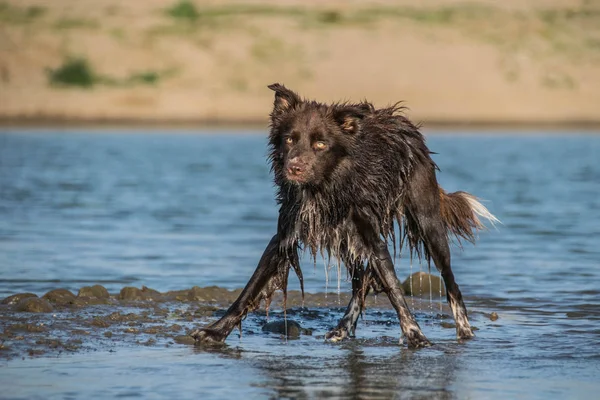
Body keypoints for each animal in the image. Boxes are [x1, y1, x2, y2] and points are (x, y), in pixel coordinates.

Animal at [192, 83, 496, 346]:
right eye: (289, 139)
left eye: (320, 144)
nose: (294, 168)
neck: (324, 187)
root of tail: (407, 127)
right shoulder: (285, 235)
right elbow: (250, 288)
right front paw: (216, 331)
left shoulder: (371, 238)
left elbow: (395, 290)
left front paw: (415, 335)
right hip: (346, 240)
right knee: (360, 284)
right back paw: (343, 328)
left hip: (427, 223)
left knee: (451, 282)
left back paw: (465, 331)